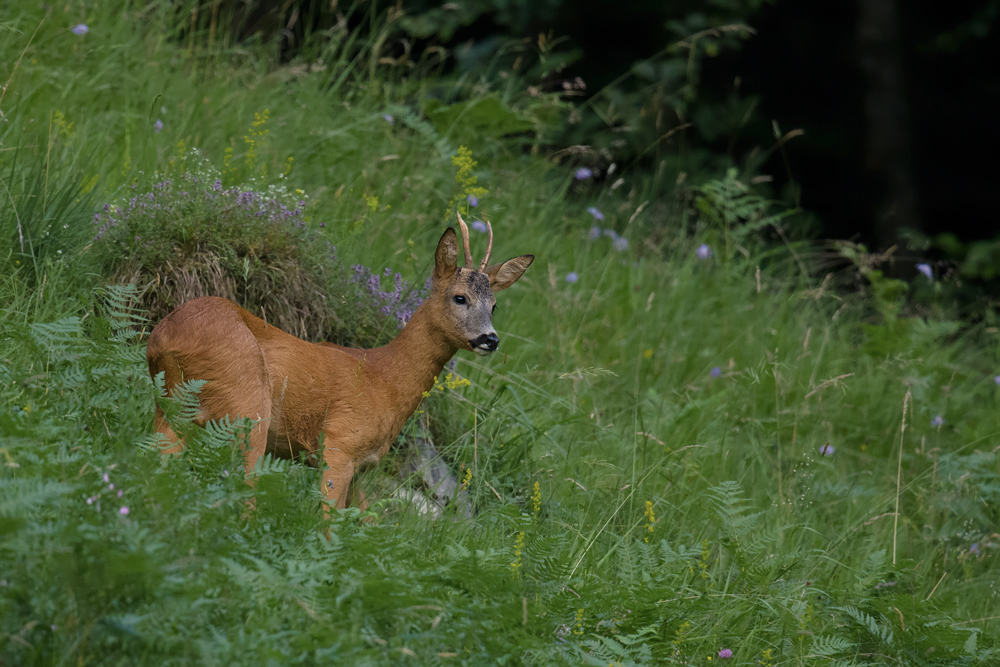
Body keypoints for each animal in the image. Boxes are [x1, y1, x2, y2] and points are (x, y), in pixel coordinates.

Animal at [146, 217, 532, 508]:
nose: (490, 339)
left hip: (171, 409)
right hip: (247, 405)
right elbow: (329, 522)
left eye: (494, 305)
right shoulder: (339, 443)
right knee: (243, 490)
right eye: (460, 297)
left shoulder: (362, 467)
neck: (385, 380)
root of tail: (165, 336)